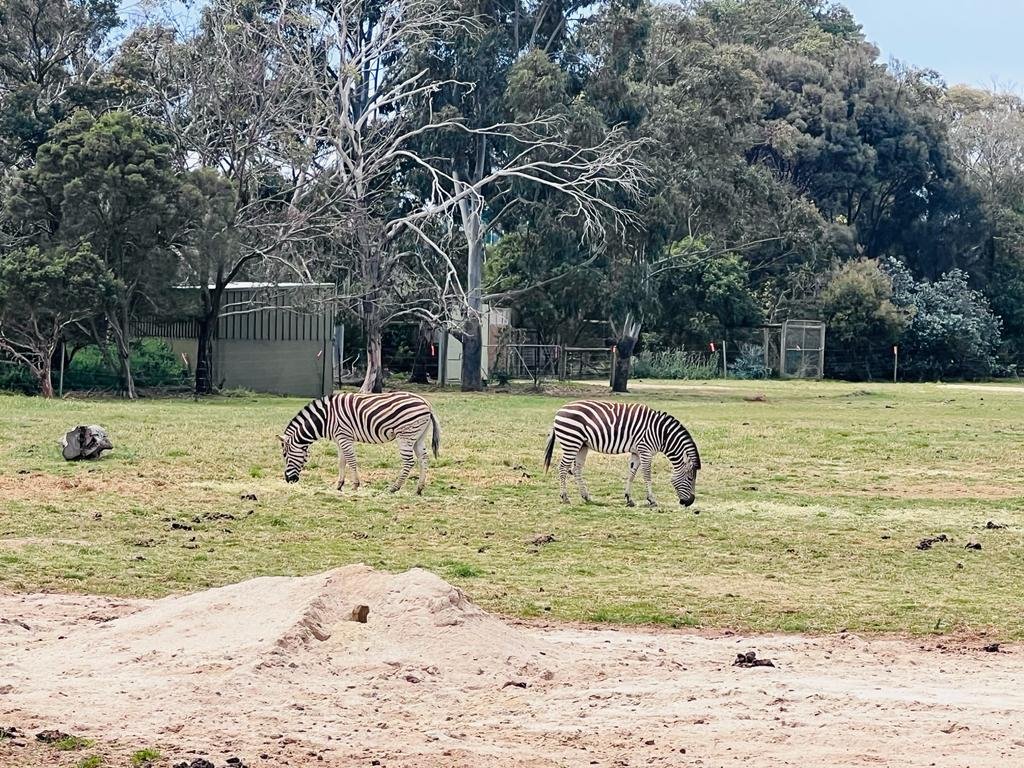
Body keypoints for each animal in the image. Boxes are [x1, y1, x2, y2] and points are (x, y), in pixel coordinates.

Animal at [279, 392, 441, 494]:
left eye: (285, 455)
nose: (288, 480)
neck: (325, 418)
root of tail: (426, 403)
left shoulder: (344, 436)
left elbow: (351, 460)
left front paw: (355, 485)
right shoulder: (339, 439)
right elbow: (341, 462)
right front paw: (339, 485)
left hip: (405, 435)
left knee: (409, 461)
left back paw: (394, 488)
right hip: (418, 437)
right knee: (423, 459)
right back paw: (419, 488)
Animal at [543, 400, 701, 507]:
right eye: (690, 478)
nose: (690, 502)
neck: (662, 434)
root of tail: (560, 410)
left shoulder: (637, 452)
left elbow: (632, 474)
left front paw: (629, 498)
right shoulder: (646, 450)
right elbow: (647, 475)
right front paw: (652, 499)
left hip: (582, 445)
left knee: (576, 469)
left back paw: (586, 496)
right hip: (571, 442)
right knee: (563, 468)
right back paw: (565, 497)